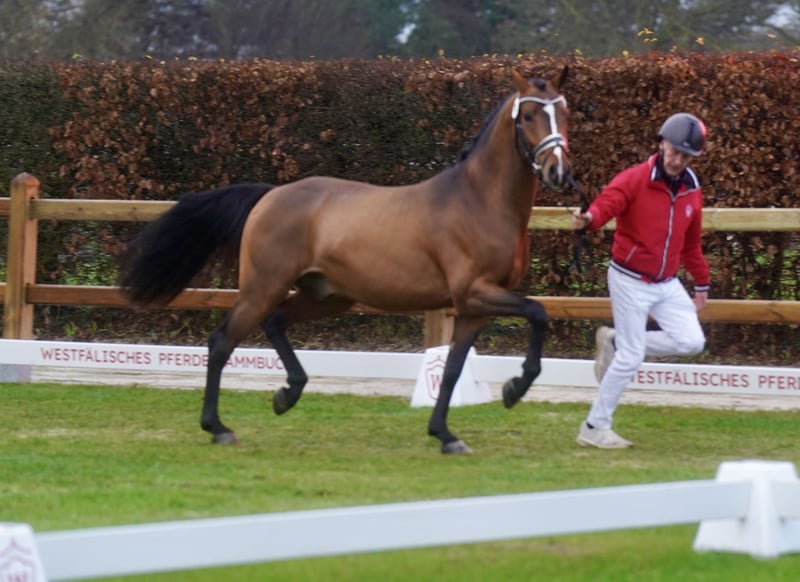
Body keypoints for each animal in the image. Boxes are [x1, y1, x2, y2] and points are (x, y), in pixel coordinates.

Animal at [119, 66, 573, 454]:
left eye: (564, 111)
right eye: (528, 114)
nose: (559, 172)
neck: (478, 199)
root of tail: (270, 195)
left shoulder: (472, 308)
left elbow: (452, 370)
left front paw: (445, 435)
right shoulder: (475, 293)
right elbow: (538, 312)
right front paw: (514, 389)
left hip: (327, 296)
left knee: (274, 323)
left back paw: (287, 394)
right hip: (263, 288)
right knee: (221, 342)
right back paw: (219, 427)